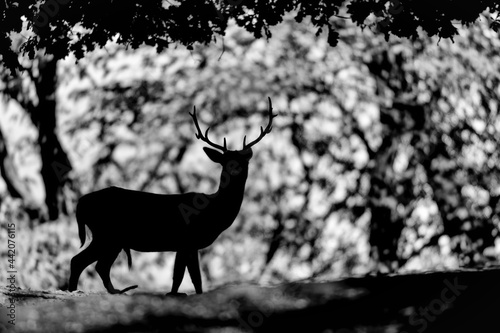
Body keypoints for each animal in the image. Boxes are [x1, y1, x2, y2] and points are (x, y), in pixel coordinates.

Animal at [68, 97, 278, 294]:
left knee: (98, 266)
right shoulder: (187, 239)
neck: (212, 212)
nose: (234, 170)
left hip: (111, 238)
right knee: (79, 261)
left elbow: (189, 279)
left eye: (243, 161)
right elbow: (184, 278)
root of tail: (81, 202)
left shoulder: (187, 245)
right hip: (106, 233)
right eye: (224, 162)